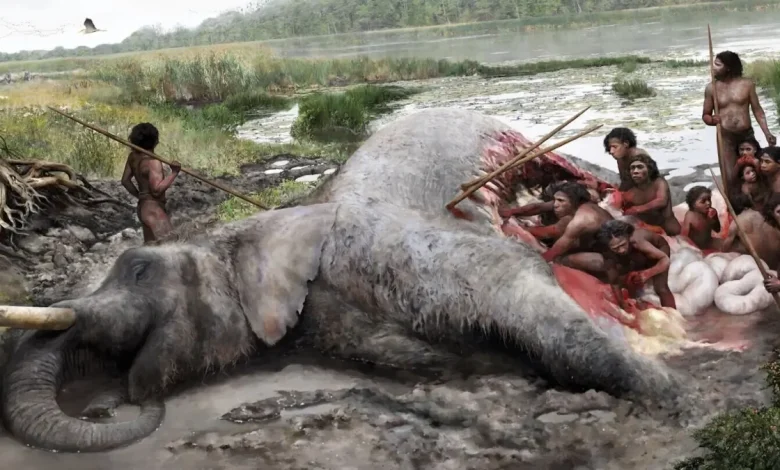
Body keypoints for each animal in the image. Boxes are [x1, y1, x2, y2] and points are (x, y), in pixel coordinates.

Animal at [0, 108, 685, 453]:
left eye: (139, 268)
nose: (104, 406)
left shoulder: (401, 247)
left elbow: (526, 292)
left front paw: (667, 395)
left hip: (528, 145)